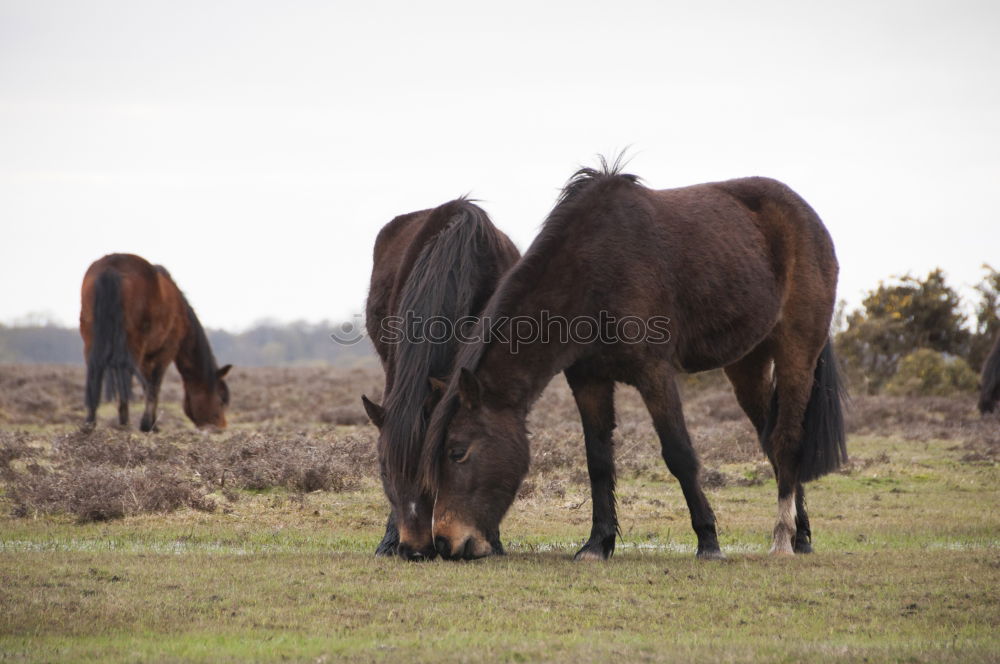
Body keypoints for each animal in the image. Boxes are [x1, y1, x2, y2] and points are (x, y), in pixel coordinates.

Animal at [80, 253, 232, 430]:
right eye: (221, 399)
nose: (221, 427)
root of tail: (112, 267)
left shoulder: (147, 356)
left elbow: (147, 385)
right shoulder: (166, 350)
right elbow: (154, 385)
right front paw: (148, 425)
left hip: (90, 338)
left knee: (94, 372)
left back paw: (90, 423)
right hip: (133, 344)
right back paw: (125, 424)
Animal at [418, 160, 848, 560]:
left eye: (458, 452)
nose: (445, 542)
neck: (593, 271)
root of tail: (808, 217)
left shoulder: (653, 373)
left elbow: (679, 454)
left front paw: (708, 541)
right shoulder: (588, 380)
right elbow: (598, 461)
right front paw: (597, 544)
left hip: (796, 350)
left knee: (787, 439)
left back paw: (783, 538)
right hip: (747, 363)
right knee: (770, 439)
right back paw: (802, 535)